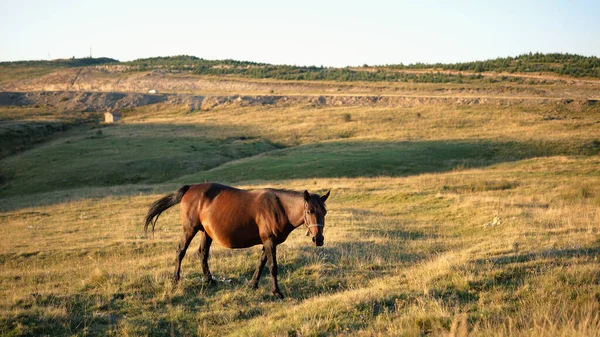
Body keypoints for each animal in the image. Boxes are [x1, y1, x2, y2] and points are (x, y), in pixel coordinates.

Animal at [146, 182, 332, 298]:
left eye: (324, 211)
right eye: (309, 211)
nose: (318, 239)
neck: (279, 208)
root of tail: (191, 188)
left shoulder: (267, 242)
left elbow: (261, 263)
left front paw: (253, 284)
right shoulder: (269, 241)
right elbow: (272, 266)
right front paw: (276, 292)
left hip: (206, 233)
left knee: (202, 254)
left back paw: (209, 280)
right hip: (189, 230)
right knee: (181, 251)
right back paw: (175, 279)